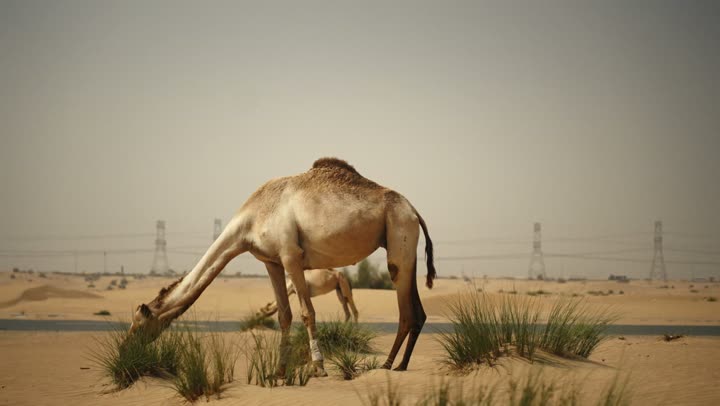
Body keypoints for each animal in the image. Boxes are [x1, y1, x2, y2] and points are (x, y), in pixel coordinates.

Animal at [128, 157, 436, 375]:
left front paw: (318, 367)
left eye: (139, 322)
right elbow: (284, 315)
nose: (128, 348)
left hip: (399, 235)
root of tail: (415, 211)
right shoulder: (271, 261)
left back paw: (387, 365)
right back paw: (401, 365)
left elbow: (307, 312)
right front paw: (279, 372)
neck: (251, 220)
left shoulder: (291, 255)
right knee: (418, 312)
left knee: (406, 311)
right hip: (404, 244)